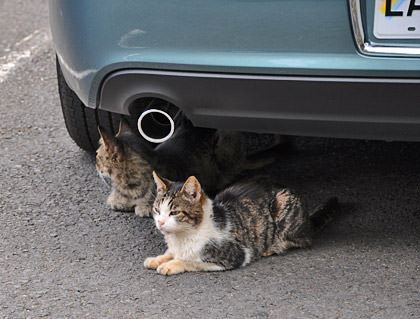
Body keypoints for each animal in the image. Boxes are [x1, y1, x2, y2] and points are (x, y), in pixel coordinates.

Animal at [144, 172, 338, 276]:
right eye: (157, 210)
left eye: (174, 212)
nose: (160, 222)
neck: (181, 237)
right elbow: (170, 252)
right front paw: (158, 259)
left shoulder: (235, 255)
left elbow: (190, 261)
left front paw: (171, 264)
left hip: (284, 204)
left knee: (300, 240)